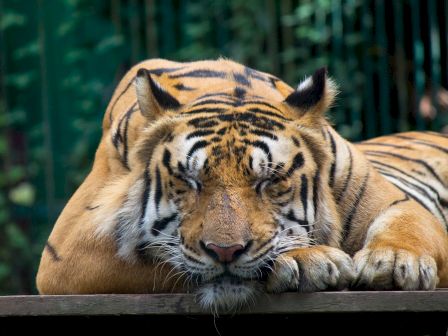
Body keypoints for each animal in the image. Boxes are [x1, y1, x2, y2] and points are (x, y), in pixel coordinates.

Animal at [36, 58, 448, 312]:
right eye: (190, 180)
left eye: (270, 180)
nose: (225, 251)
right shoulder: (66, 251)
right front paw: (309, 260)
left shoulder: (396, 201)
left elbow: (409, 226)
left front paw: (394, 262)